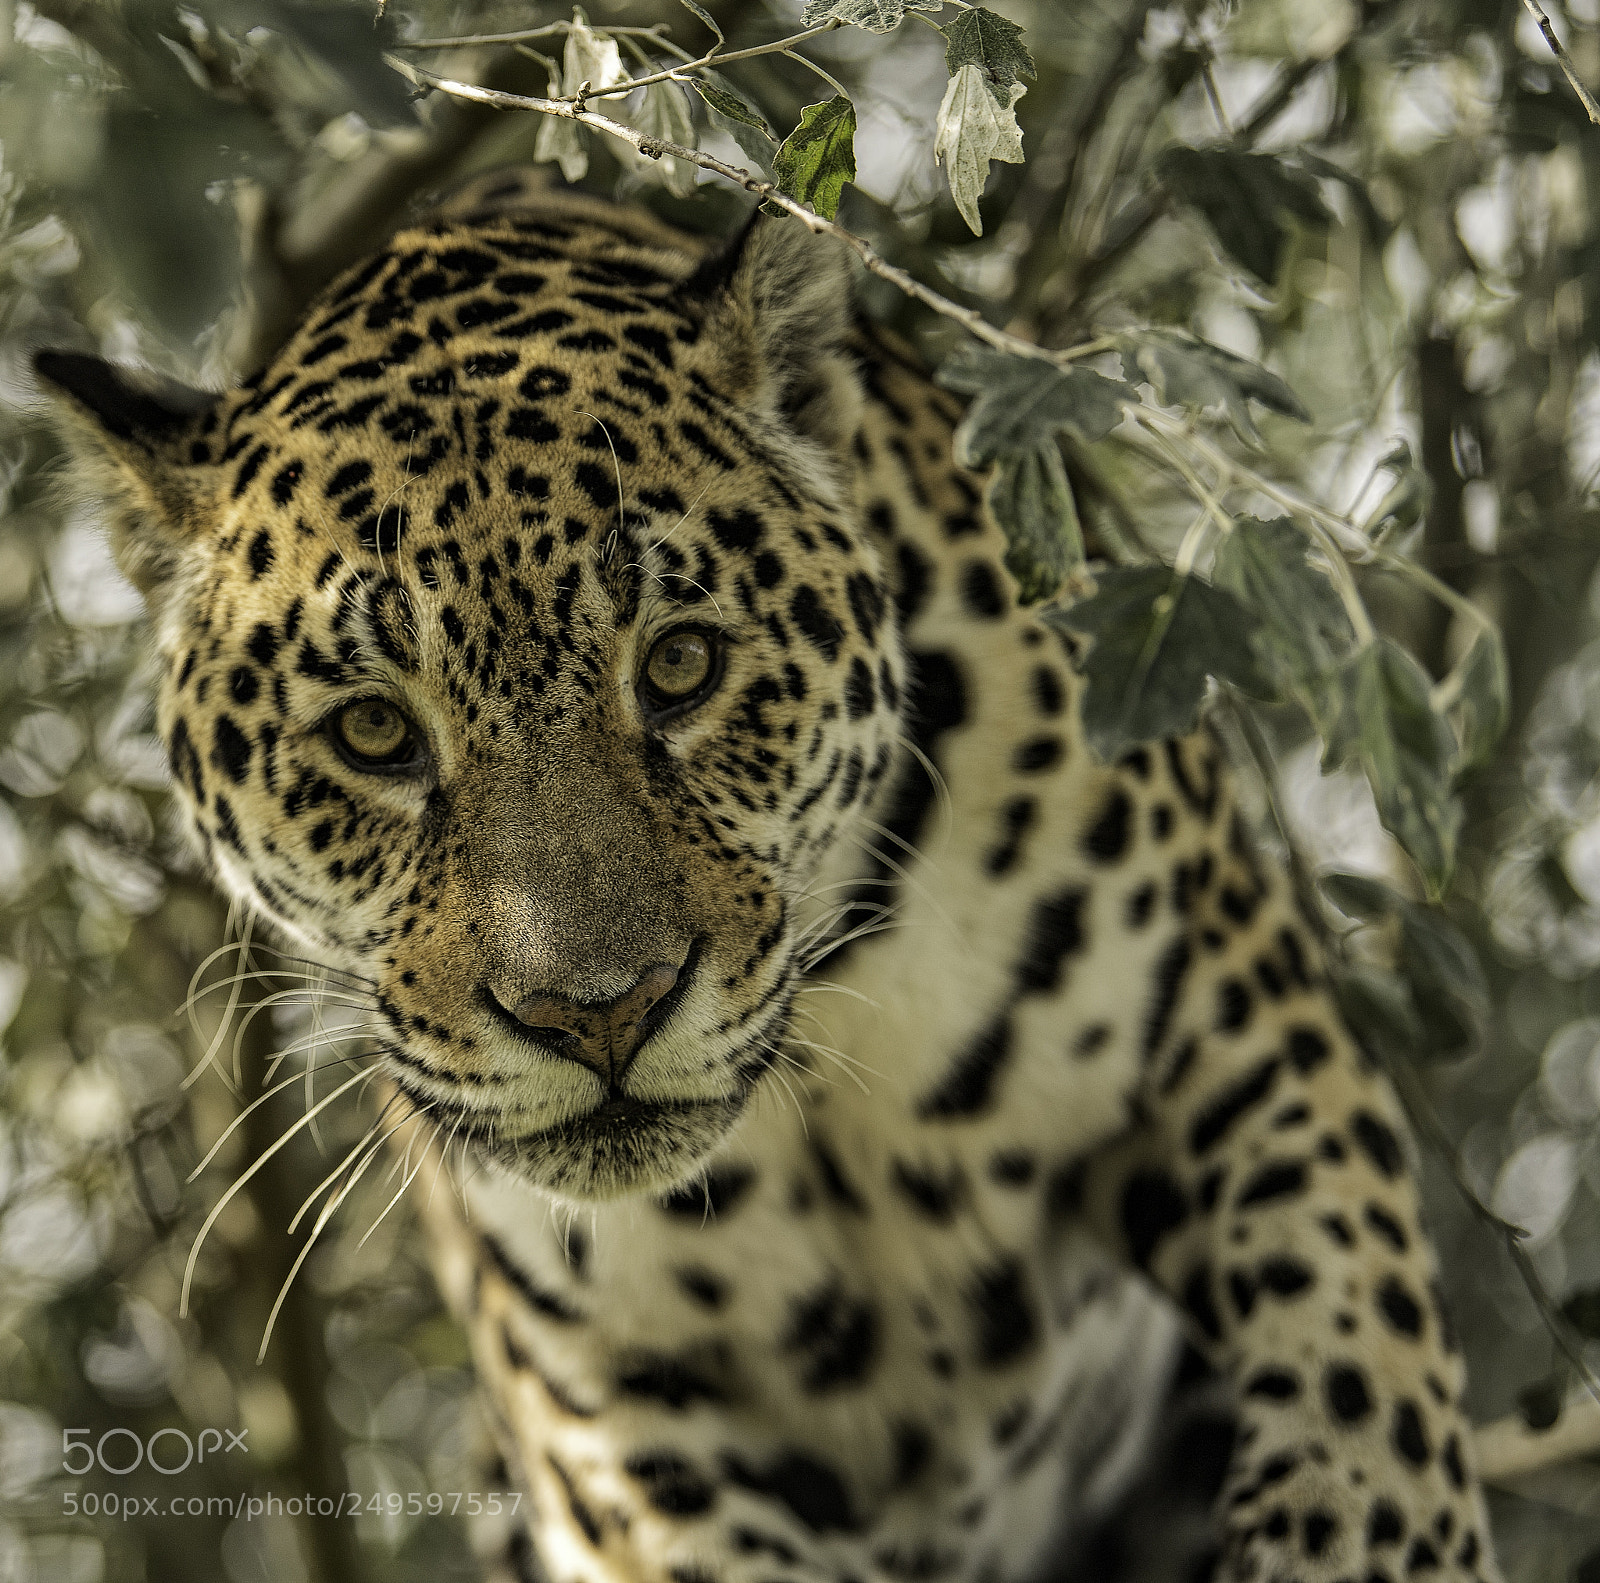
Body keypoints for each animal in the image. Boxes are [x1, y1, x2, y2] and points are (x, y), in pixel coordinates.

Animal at [37, 167, 1502, 1583]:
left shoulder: (1237, 1023)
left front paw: (1365, 1531)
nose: (598, 1013)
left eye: (680, 664)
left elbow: (1356, 1360)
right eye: (374, 732)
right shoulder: (610, 1418)